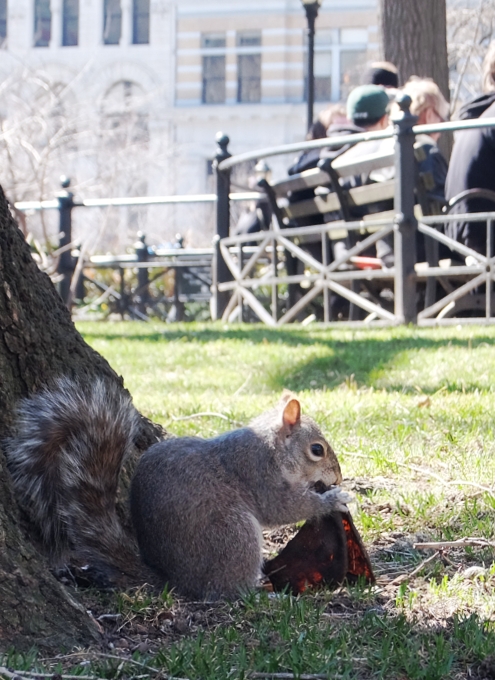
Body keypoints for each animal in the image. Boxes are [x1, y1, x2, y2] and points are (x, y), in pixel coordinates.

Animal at [5, 380, 350, 596]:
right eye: (316, 450)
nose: (338, 476)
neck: (273, 448)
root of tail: (174, 580)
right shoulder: (257, 473)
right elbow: (282, 508)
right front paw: (333, 499)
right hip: (233, 534)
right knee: (224, 590)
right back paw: (257, 590)